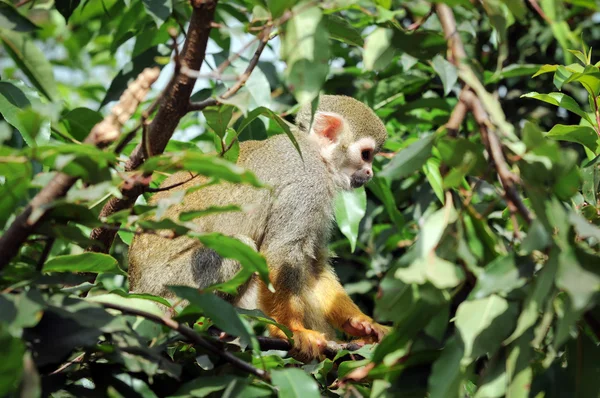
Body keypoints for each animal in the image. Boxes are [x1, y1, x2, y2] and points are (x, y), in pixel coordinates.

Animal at [128, 94, 390, 360]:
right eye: (366, 154)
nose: (369, 172)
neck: (314, 152)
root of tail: (135, 287)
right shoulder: (307, 183)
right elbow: (281, 252)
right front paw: (292, 330)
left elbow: (313, 265)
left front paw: (361, 323)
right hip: (168, 287)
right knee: (240, 248)